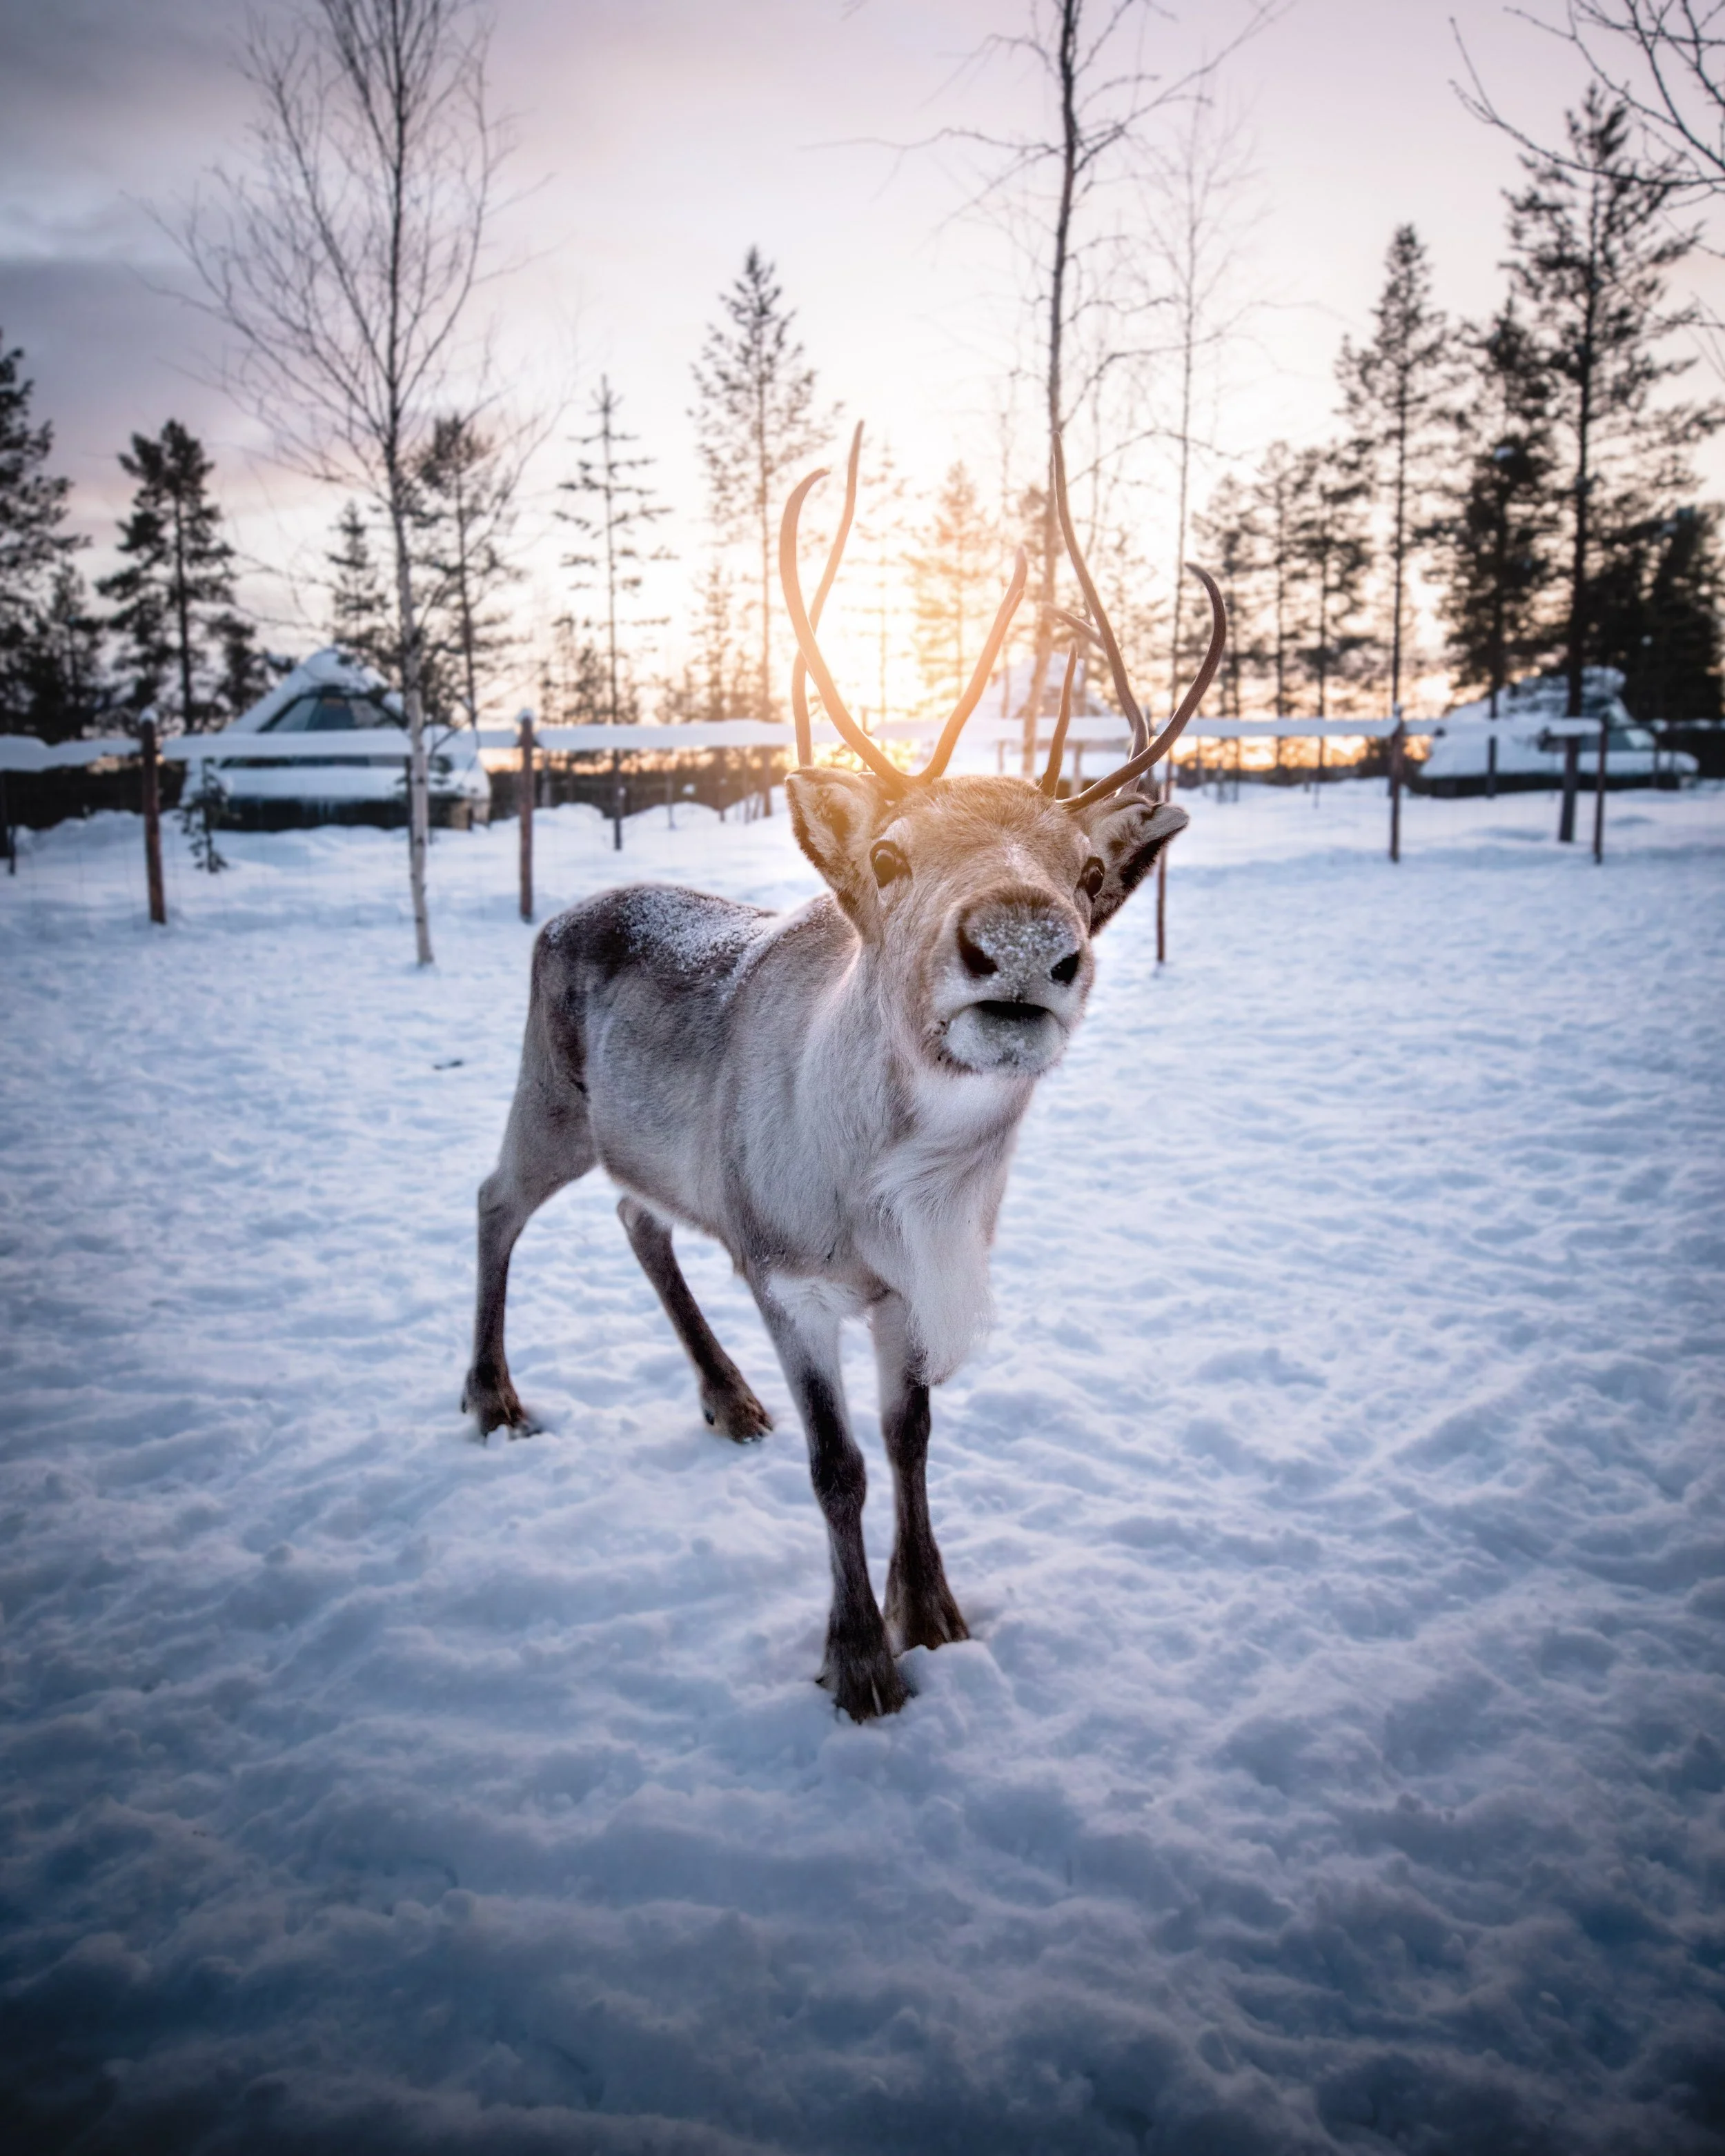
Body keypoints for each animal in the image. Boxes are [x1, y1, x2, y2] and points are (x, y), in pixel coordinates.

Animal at [463, 425, 1225, 1723]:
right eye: (890, 853)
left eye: (1085, 873)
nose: (1023, 942)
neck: (893, 1189)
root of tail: (563, 910)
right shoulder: (790, 1277)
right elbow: (839, 1467)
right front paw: (860, 1659)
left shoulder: (909, 1293)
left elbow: (911, 1440)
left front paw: (936, 1613)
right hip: (547, 1100)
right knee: (496, 1202)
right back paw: (492, 1397)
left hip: (650, 1146)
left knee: (639, 1219)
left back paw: (723, 1397)